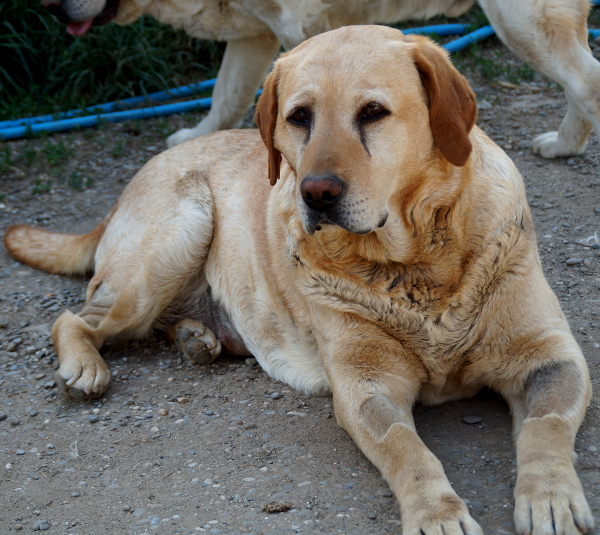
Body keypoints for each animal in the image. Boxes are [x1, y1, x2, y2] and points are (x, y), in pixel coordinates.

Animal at [4, 26, 596, 535]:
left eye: (373, 113)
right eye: (299, 117)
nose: (317, 192)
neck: (417, 265)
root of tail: (134, 180)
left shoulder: (551, 358)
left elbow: (545, 428)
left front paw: (550, 498)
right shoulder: (367, 389)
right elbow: (409, 451)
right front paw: (438, 512)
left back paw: (196, 338)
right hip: (177, 236)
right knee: (77, 317)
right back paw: (87, 364)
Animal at [42, 0, 600, 158]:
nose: (49, 7)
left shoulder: (296, 26)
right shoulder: (254, 36)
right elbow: (225, 96)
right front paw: (199, 137)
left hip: (522, 21)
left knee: (586, 83)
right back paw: (566, 144)